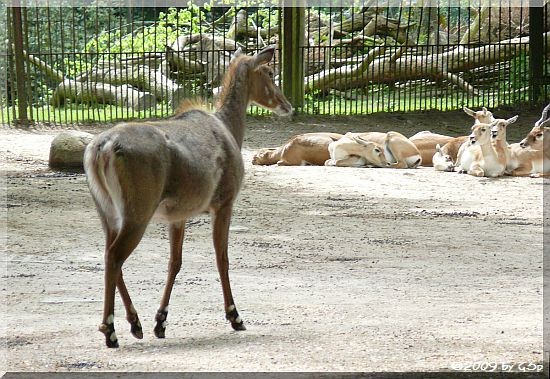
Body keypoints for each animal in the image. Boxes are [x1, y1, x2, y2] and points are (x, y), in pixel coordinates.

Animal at [83, 46, 294, 348]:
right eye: (270, 72)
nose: (287, 105)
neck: (227, 128)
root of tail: (103, 148)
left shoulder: (178, 216)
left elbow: (175, 262)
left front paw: (160, 322)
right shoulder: (225, 204)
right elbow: (222, 258)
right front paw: (235, 317)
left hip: (108, 214)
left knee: (110, 255)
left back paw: (136, 324)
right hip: (137, 214)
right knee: (115, 256)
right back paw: (110, 330)